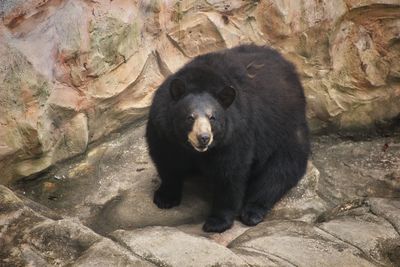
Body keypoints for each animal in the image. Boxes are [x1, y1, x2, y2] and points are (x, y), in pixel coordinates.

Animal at [145, 45, 310, 233]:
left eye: (212, 117)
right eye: (190, 117)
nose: (204, 138)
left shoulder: (235, 135)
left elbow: (230, 174)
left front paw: (216, 222)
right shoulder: (163, 132)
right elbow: (167, 161)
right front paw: (165, 198)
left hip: (284, 130)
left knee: (280, 170)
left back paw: (252, 212)